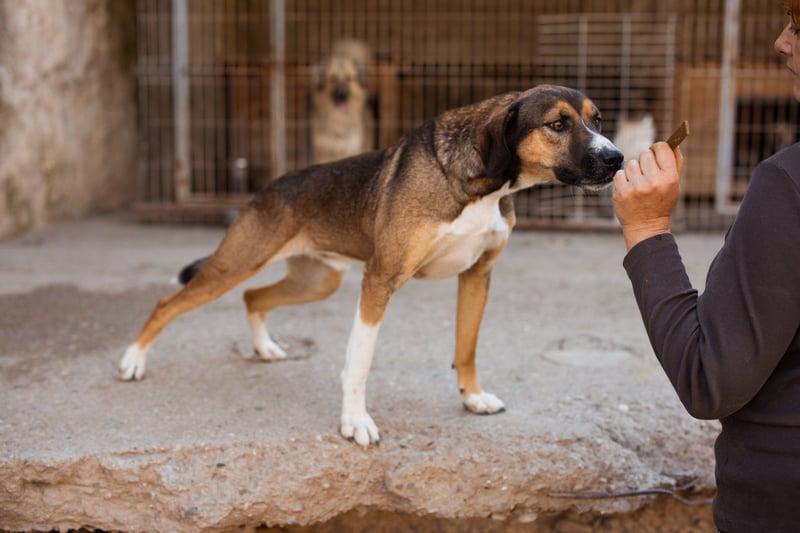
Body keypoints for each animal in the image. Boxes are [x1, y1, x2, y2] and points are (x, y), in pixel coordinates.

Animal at [119, 85, 624, 447]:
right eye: (557, 123)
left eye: (598, 120)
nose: (616, 158)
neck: (485, 185)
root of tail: (267, 189)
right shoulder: (379, 281)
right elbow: (358, 363)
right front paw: (355, 421)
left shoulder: (477, 275)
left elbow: (466, 348)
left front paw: (474, 397)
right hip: (236, 263)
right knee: (169, 302)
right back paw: (133, 361)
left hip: (316, 280)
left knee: (253, 296)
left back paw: (264, 347)